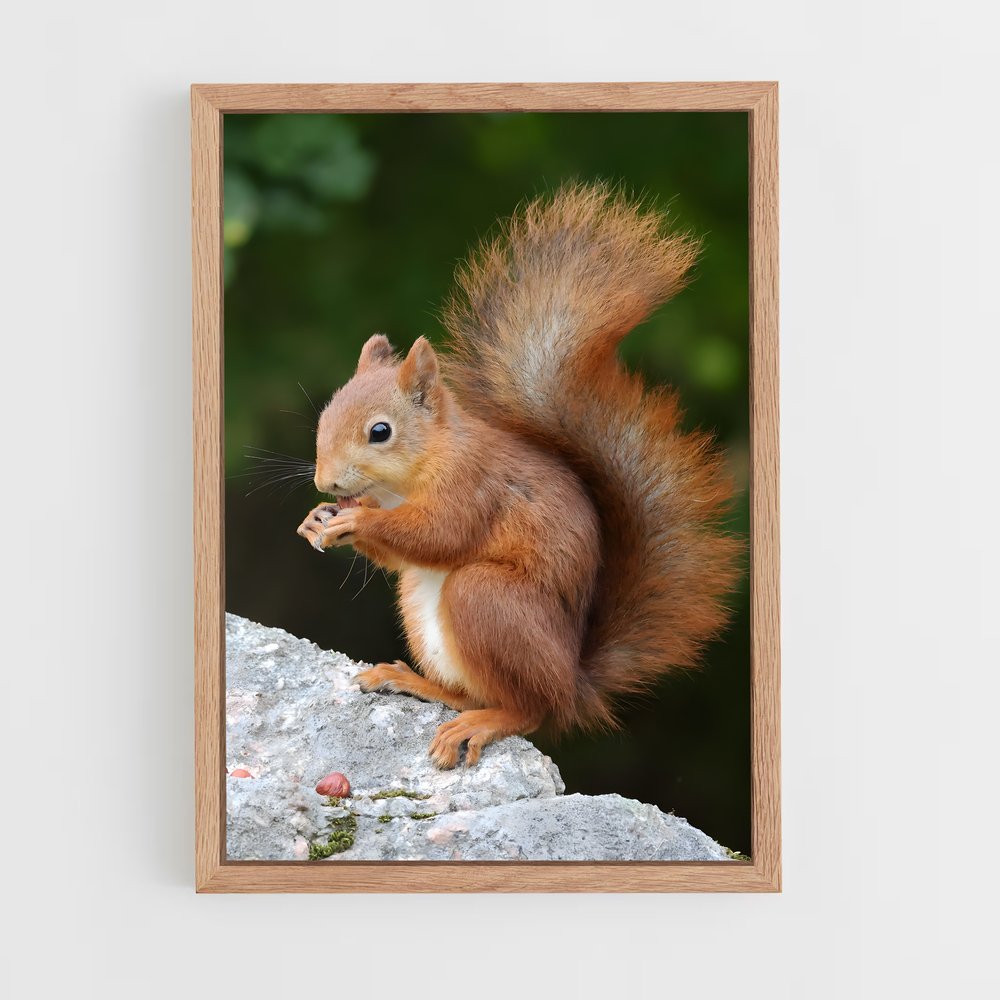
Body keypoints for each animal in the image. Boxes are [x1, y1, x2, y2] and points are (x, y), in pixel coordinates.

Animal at [296, 183, 741, 769]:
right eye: (325, 415)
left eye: (380, 431)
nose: (325, 483)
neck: (408, 480)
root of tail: (573, 684)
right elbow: (404, 552)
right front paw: (316, 519)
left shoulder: (472, 484)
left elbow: (441, 533)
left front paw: (354, 522)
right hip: (424, 609)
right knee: (474, 691)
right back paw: (417, 683)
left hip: (489, 600)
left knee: (528, 710)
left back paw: (482, 723)